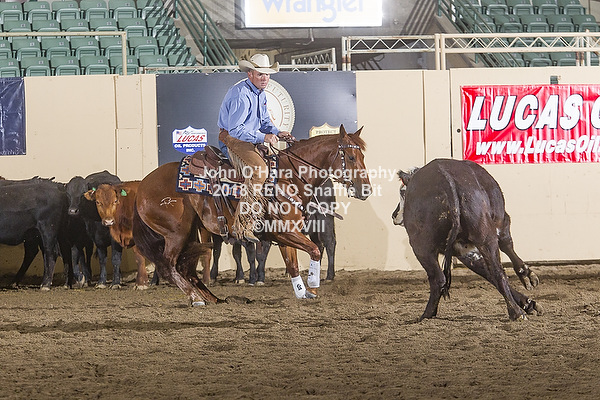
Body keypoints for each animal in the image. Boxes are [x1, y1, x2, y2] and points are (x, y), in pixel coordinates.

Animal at [132, 125, 370, 306]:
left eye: (362, 155)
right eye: (350, 156)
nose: (365, 189)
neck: (289, 177)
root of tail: (142, 186)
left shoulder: (287, 235)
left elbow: (293, 264)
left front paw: (303, 292)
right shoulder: (284, 233)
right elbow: (313, 250)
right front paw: (312, 286)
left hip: (191, 232)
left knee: (185, 267)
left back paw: (212, 298)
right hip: (176, 233)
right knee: (169, 265)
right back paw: (196, 297)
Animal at [392, 158, 542, 321]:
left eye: (402, 192)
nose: (394, 215)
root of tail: (446, 180)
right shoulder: (470, 248)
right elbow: (497, 259)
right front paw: (528, 299)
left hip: (423, 246)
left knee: (441, 278)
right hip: (479, 237)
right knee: (496, 271)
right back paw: (516, 311)